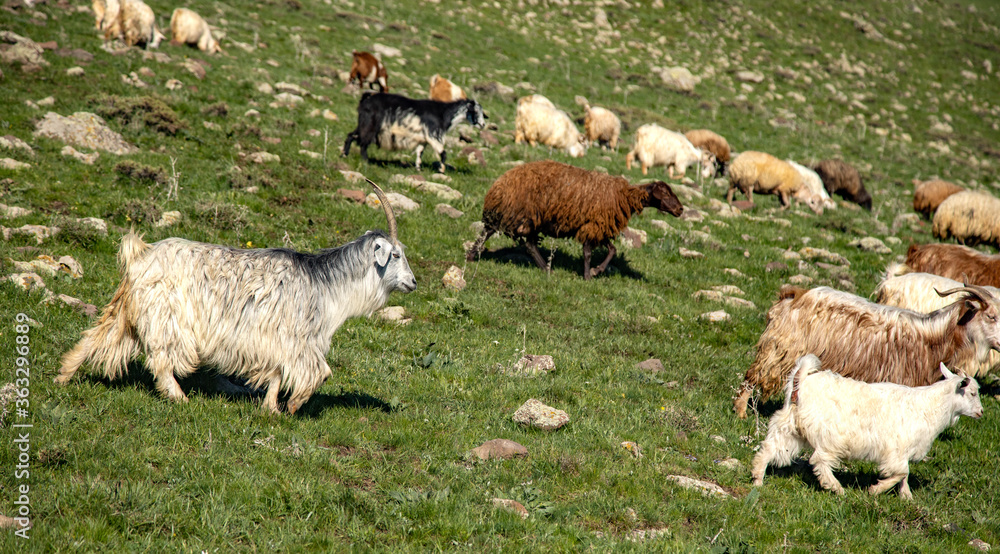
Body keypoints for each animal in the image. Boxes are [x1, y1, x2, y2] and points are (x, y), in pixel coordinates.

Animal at [54, 181, 416, 414]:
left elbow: (276, 373)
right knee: (161, 358)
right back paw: (179, 397)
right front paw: (292, 406)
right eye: (396, 255)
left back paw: (64, 374)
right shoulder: (297, 338)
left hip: (128, 311)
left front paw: (271, 409)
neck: (325, 286)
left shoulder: (271, 338)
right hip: (167, 316)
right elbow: (319, 372)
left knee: (97, 336)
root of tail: (141, 254)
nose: (413, 282)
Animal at [342, 92, 486, 171]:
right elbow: (443, 153)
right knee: (363, 143)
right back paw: (365, 161)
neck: (443, 114)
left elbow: (419, 153)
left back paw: (344, 155)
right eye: (474, 111)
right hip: (370, 126)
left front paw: (418, 169)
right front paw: (441, 169)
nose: (483, 124)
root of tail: (366, 99)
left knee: (351, 136)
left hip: (363, 124)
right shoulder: (433, 135)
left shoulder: (422, 139)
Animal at [465, 160, 684, 279]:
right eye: (665, 193)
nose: (681, 209)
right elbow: (587, 253)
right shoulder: (592, 225)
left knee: (515, 240)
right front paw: (588, 275)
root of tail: (498, 186)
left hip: (525, 217)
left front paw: (596, 271)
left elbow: (612, 250)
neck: (624, 196)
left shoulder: (598, 226)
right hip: (521, 214)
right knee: (513, 239)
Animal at [732, 284, 1000, 418]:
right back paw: (741, 413)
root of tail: (794, 294)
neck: (933, 339)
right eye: (991, 316)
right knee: (752, 377)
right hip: (780, 351)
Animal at [751, 354, 982, 499]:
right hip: (829, 434)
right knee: (819, 460)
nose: (980, 412)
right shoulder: (897, 449)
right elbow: (901, 472)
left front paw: (906, 496)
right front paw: (876, 490)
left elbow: (904, 475)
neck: (930, 407)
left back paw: (757, 478)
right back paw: (836, 488)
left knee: (770, 447)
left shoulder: (900, 451)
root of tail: (801, 380)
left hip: (789, 425)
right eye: (972, 393)